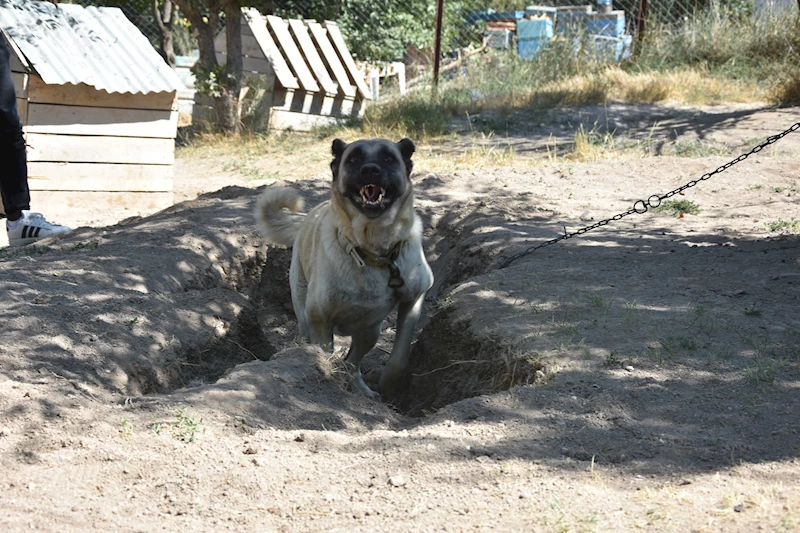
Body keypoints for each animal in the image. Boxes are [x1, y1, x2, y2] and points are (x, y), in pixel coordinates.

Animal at [255, 137, 432, 400]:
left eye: (388, 158)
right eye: (354, 158)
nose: (370, 169)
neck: (372, 252)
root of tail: (307, 216)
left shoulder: (413, 300)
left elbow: (399, 358)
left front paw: (388, 387)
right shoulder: (320, 320)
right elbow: (324, 355)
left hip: (370, 331)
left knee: (353, 363)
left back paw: (359, 387)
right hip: (306, 314)